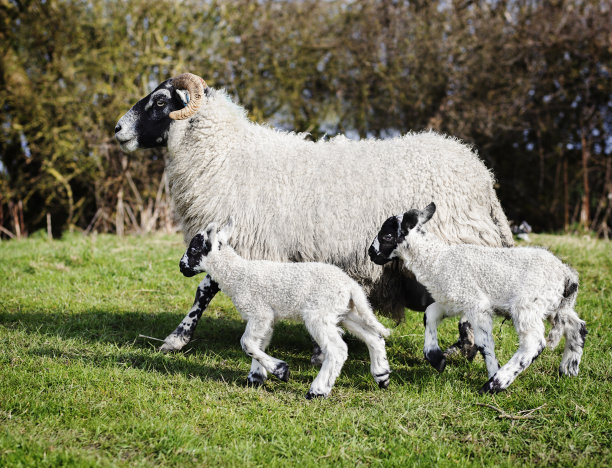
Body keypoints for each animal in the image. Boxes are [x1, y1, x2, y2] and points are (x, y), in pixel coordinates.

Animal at [113, 73, 512, 358]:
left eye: (160, 101)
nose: (117, 129)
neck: (225, 155)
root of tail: (479, 172)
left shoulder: (240, 238)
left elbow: (204, 290)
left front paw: (176, 339)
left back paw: (464, 348)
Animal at [180, 219, 392, 398]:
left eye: (194, 249)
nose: (181, 266)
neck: (236, 274)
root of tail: (350, 286)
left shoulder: (259, 312)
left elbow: (247, 343)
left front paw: (281, 371)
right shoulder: (267, 318)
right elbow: (259, 343)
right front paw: (256, 377)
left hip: (319, 314)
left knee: (338, 350)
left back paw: (317, 391)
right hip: (345, 312)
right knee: (374, 337)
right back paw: (382, 376)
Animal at [370, 203, 584, 394]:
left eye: (387, 236)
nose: (371, 254)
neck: (437, 260)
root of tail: (566, 274)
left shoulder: (476, 303)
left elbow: (484, 342)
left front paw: (492, 371)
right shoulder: (453, 299)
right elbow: (429, 315)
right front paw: (436, 359)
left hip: (528, 304)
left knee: (533, 342)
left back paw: (496, 384)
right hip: (556, 305)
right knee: (578, 326)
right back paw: (568, 370)